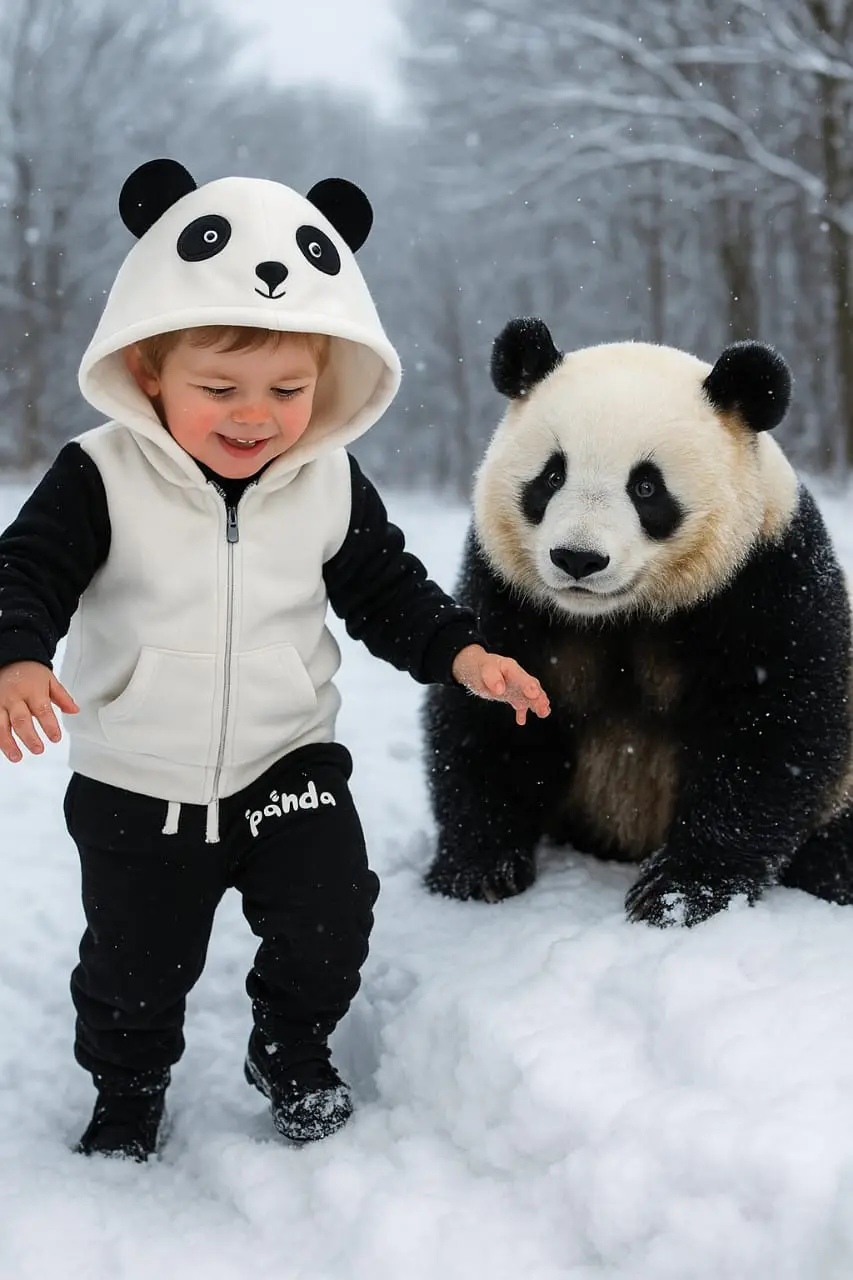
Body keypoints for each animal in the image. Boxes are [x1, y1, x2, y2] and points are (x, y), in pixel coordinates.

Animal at [424, 318, 853, 927]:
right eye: (552, 476)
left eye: (646, 487)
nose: (578, 558)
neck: (620, 614)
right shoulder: (507, 590)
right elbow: (486, 716)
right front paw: (477, 870)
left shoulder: (766, 577)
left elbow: (774, 729)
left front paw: (678, 892)